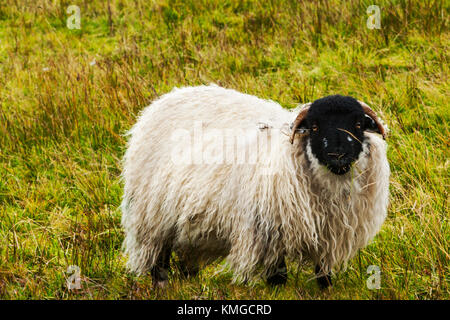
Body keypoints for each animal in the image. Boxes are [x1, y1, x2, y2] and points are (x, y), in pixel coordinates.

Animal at [120, 84, 390, 288]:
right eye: (314, 127)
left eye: (358, 125)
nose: (338, 155)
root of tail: (166, 98)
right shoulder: (268, 231)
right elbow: (278, 276)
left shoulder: (328, 236)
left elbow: (323, 274)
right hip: (153, 218)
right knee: (159, 261)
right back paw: (162, 286)